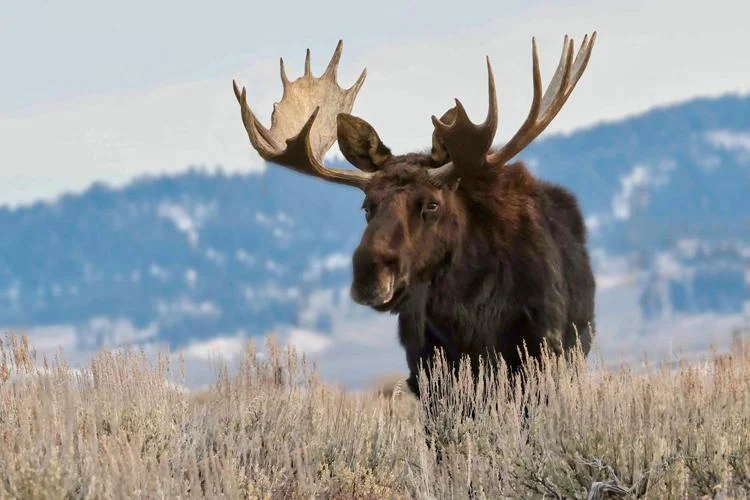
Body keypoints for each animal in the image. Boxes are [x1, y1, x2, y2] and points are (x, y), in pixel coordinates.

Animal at [232, 34, 597, 400]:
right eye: (367, 206)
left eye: (432, 205)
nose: (369, 273)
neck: (472, 317)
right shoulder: (429, 373)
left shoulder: (544, 355)